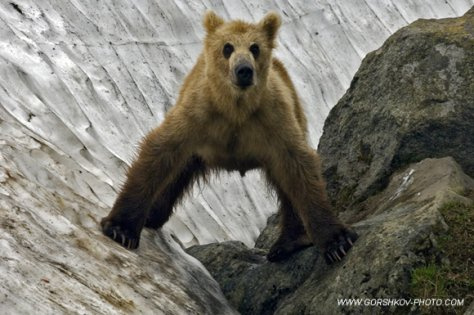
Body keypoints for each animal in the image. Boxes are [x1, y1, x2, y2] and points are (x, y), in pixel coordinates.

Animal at [102, 10, 358, 264]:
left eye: (255, 47)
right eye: (227, 47)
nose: (244, 70)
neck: (235, 108)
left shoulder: (272, 118)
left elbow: (299, 168)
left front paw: (337, 242)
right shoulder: (198, 114)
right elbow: (159, 152)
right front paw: (120, 229)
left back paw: (286, 243)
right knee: (177, 173)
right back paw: (153, 215)